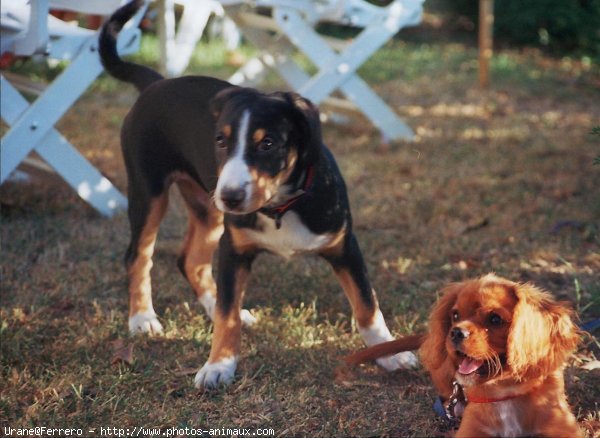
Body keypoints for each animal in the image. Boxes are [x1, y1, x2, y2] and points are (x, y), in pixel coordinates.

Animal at [99, 1, 418, 388]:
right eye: (220, 141)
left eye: (267, 143)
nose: (232, 196)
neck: (281, 206)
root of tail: (157, 83)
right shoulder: (234, 248)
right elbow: (227, 315)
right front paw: (219, 365)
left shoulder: (345, 246)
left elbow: (367, 306)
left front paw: (390, 353)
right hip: (151, 192)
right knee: (139, 256)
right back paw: (142, 318)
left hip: (207, 208)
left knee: (192, 260)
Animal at [344, 274, 584, 438]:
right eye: (455, 315)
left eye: (495, 319)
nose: (456, 332)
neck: (503, 393)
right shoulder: (471, 430)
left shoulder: (563, 428)